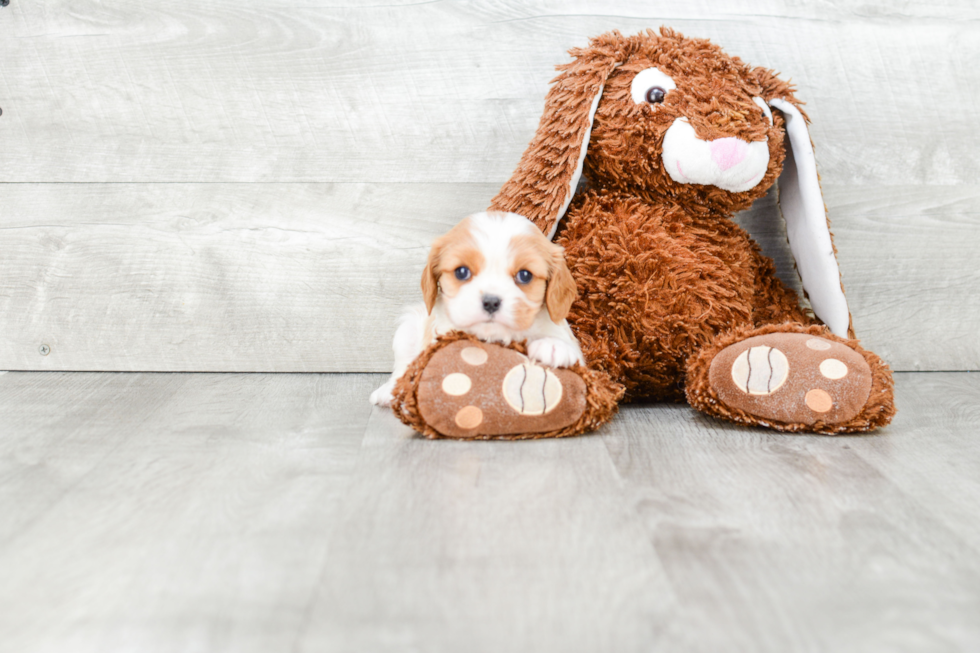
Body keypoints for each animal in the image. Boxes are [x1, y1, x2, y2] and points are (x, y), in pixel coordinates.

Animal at [368, 211, 580, 404]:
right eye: (462, 272)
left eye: (525, 275)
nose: (491, 302)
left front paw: (553, 345)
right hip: (407, 330)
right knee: (402, 366)